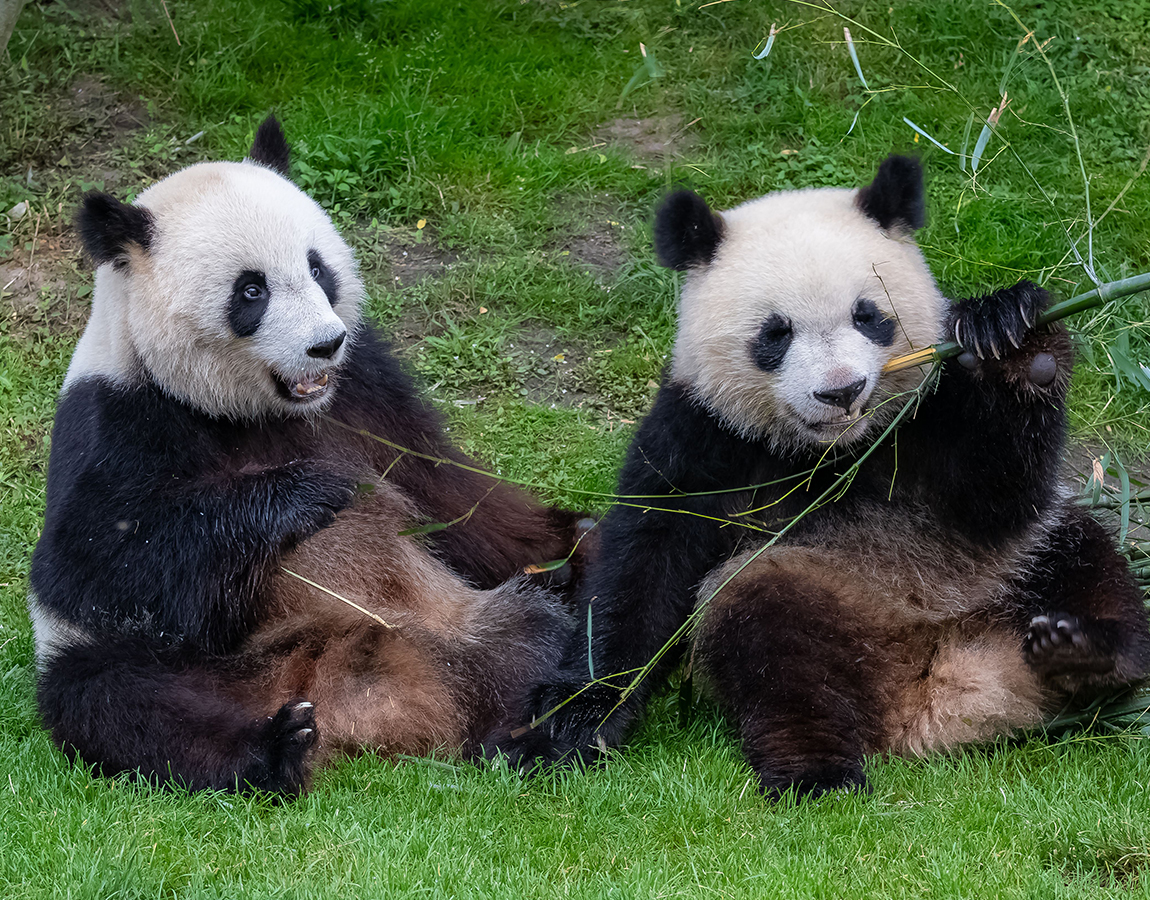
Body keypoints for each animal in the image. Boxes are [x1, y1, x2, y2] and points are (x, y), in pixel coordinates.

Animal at [29, 116, 592, 795]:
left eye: (317, 268)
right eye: (251, 290)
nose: (325, 345)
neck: (253, 407)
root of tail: (362, 710)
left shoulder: (367, 389)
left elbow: (451, 493)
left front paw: (573, 540)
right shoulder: (119, 417)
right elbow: (89, 562)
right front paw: (310, 493)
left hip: (456, 624)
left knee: (532, 643)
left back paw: (542, 731)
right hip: (193, 669)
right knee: (113, 698)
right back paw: (276, 748)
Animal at [492, 154, 1150, 798]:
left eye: (870, 316)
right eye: (775, 332)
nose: (841, 391)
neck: (830, 452)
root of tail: (937, 688)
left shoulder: (928, 414)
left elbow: (999, 497)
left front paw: (1015, 341)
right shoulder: (702, 432)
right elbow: (647, 564)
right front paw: (568, 723)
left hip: (1011, 568)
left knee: (1089, 566)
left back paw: (1083, 653)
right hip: (811, 592)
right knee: (771, 646)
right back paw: (816, 771)